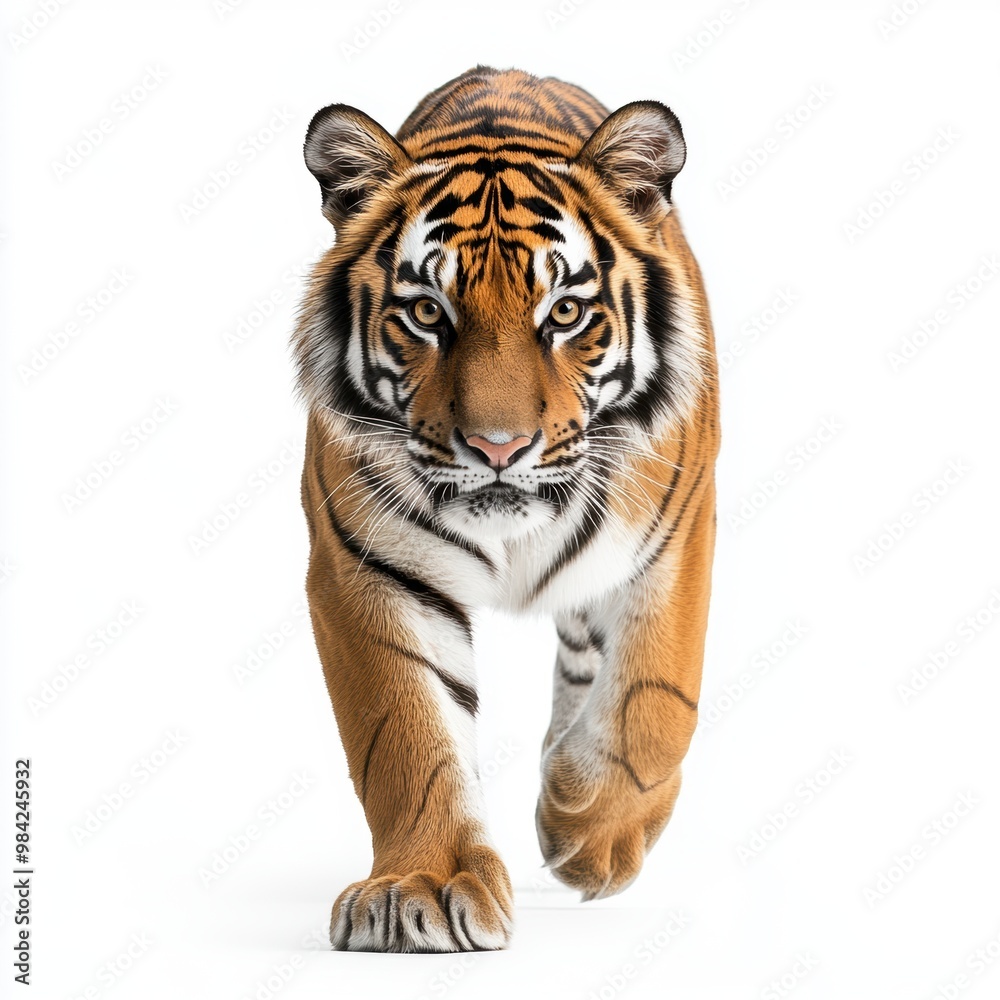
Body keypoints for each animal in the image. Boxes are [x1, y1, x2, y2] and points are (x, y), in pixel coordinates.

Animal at [293, 65, 720, 953]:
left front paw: (591, 834)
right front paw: (419, 887)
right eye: (428, 313)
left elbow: (654, 702)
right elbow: (407, 732)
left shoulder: (675, 540)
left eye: (564, 314)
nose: (498, 447)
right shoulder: (368, 567)